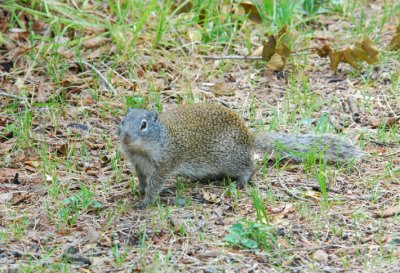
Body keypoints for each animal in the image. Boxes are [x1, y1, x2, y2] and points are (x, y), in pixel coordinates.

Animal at [117, 102, 364, 206]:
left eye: (144, 125)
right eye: (122, 121)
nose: (126, 137)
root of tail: (249, 138)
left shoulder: (166, 162)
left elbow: (156, 183)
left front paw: (146, 201)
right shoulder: (139, 165)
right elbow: (143, 180)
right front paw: (139, 191)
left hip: (229, 158)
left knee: (250, 167)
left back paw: (240, 182)